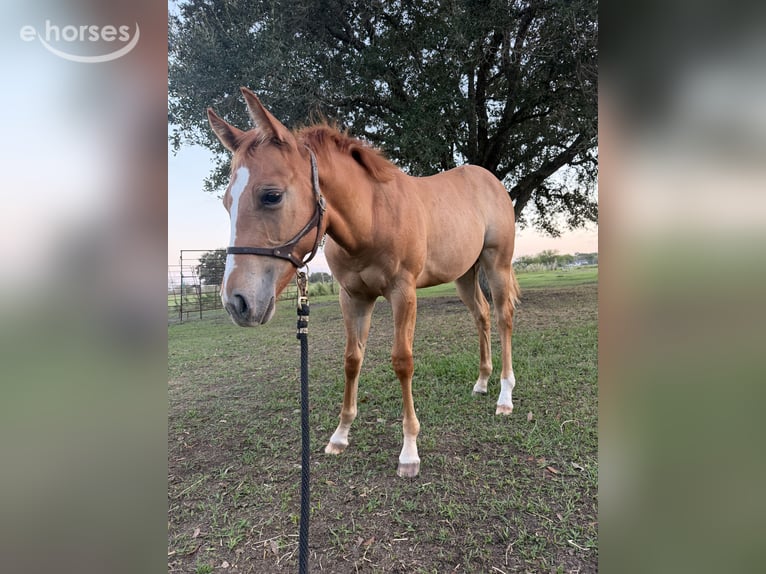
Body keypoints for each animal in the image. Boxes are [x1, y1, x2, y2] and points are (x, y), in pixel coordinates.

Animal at [207, 87, 521, 477]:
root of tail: (489, 179)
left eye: (272, 195)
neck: (372, 217)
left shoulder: (403, 294)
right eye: (226, 202)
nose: (237, 302)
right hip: (464, 274)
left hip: (497, 265)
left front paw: (409, 451)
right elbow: (352, 360)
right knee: (481, 316)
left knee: (503, 317)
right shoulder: (353, 297)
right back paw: (481, 382)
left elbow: (402, 362)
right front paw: (340, 435)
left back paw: (504, 396)